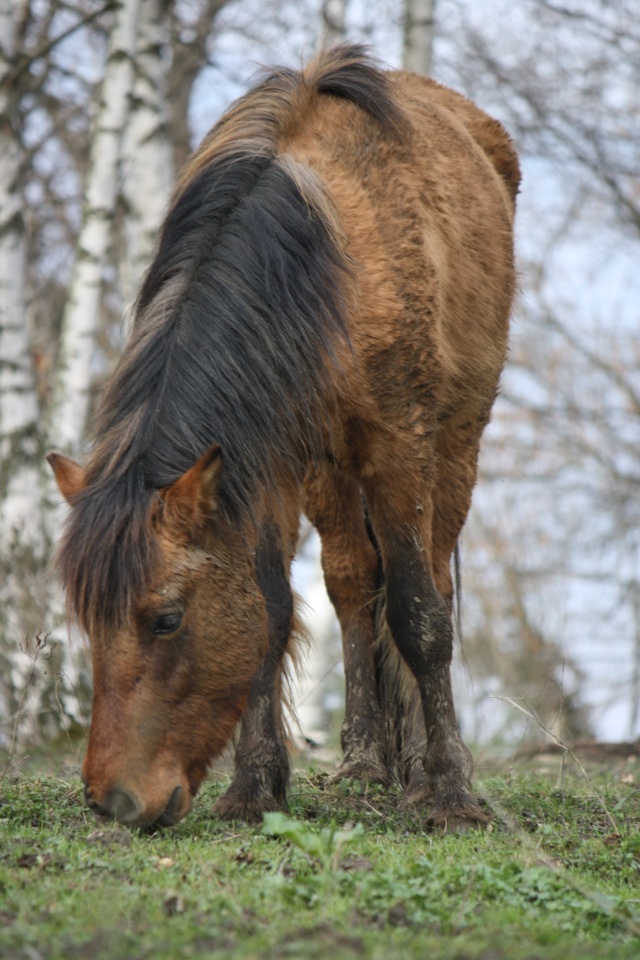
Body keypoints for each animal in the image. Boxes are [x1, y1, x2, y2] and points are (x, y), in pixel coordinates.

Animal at [48, 45, 520, 828]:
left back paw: (422, 769)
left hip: (456, 443)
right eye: (89, 620)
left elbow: (421, 616)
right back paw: (367, 761)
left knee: (432, 580)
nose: (113, 801)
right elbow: (271, 614)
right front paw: (254, 786)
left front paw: (452, 793)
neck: (324, 265)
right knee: (354, 584)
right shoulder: (264, 465)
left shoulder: (400, 444)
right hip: (328, 472)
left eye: (166, 620)